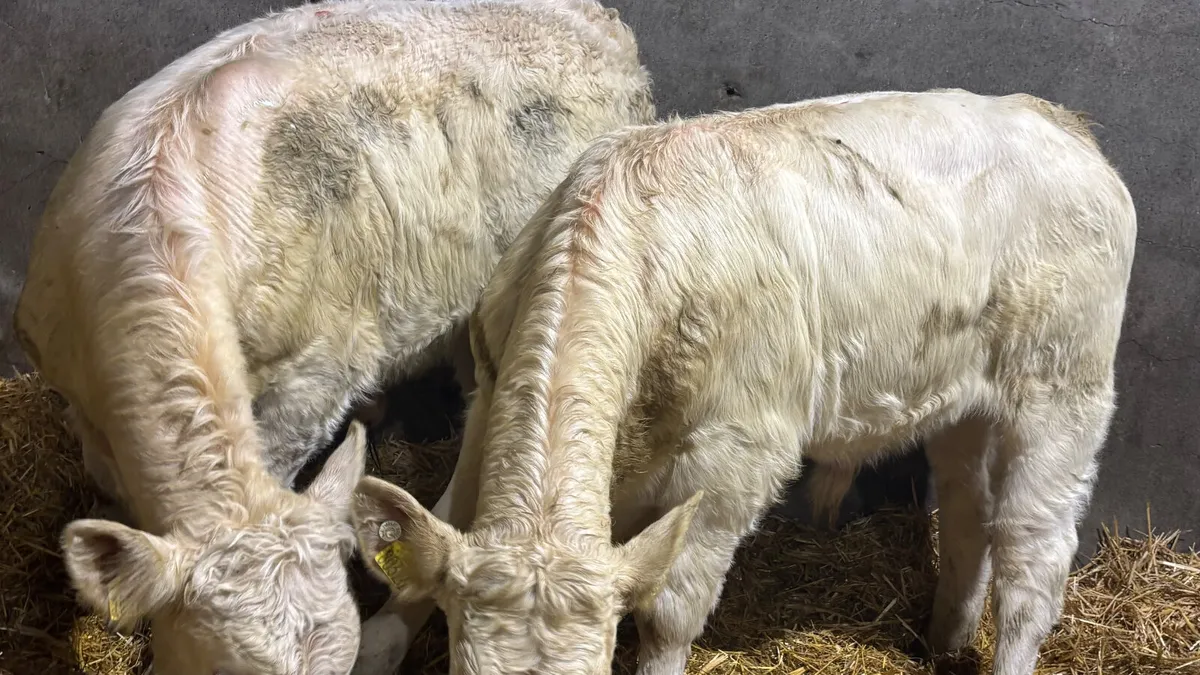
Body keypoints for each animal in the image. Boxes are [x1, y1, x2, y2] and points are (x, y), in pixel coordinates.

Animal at [351, 89, 1137, 675]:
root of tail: (1056, 119)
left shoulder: (738, 455)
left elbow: (669, 614)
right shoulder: (487, 399)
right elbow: (429, 536)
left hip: (1064, 388)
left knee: (1033, 557)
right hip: (963, 398)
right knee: (969, 511)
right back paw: (942, 642)